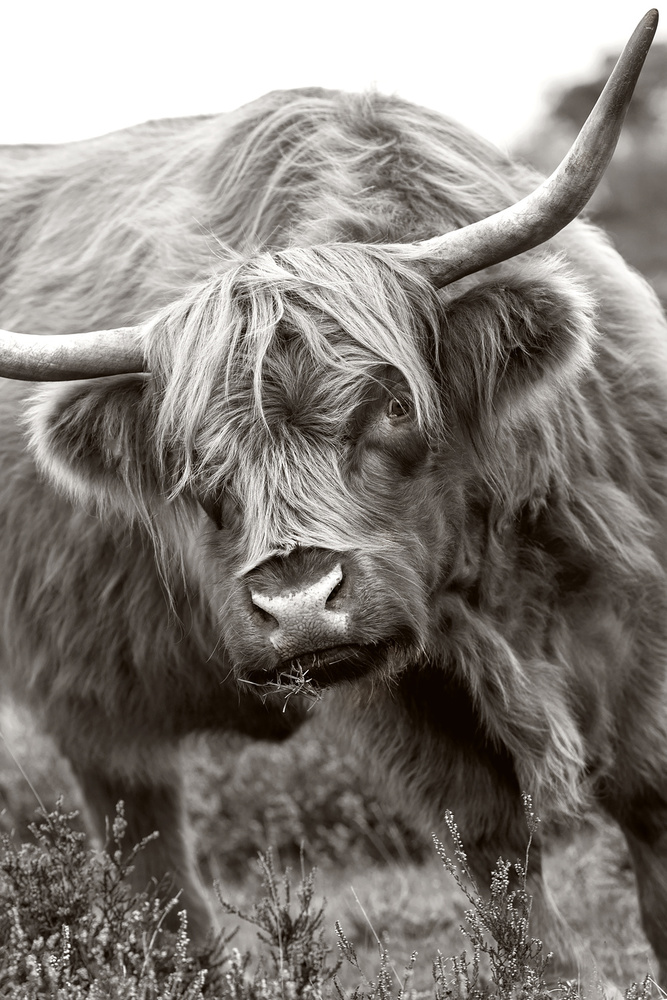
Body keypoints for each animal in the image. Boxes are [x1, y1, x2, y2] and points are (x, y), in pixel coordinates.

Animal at [0, 8, 665, 985]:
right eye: (193, 459)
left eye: (392, 405)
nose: (298, 604)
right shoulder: (406, 700)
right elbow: (495, 861)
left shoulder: (634, 608)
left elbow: (649, 801)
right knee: (148, 850)